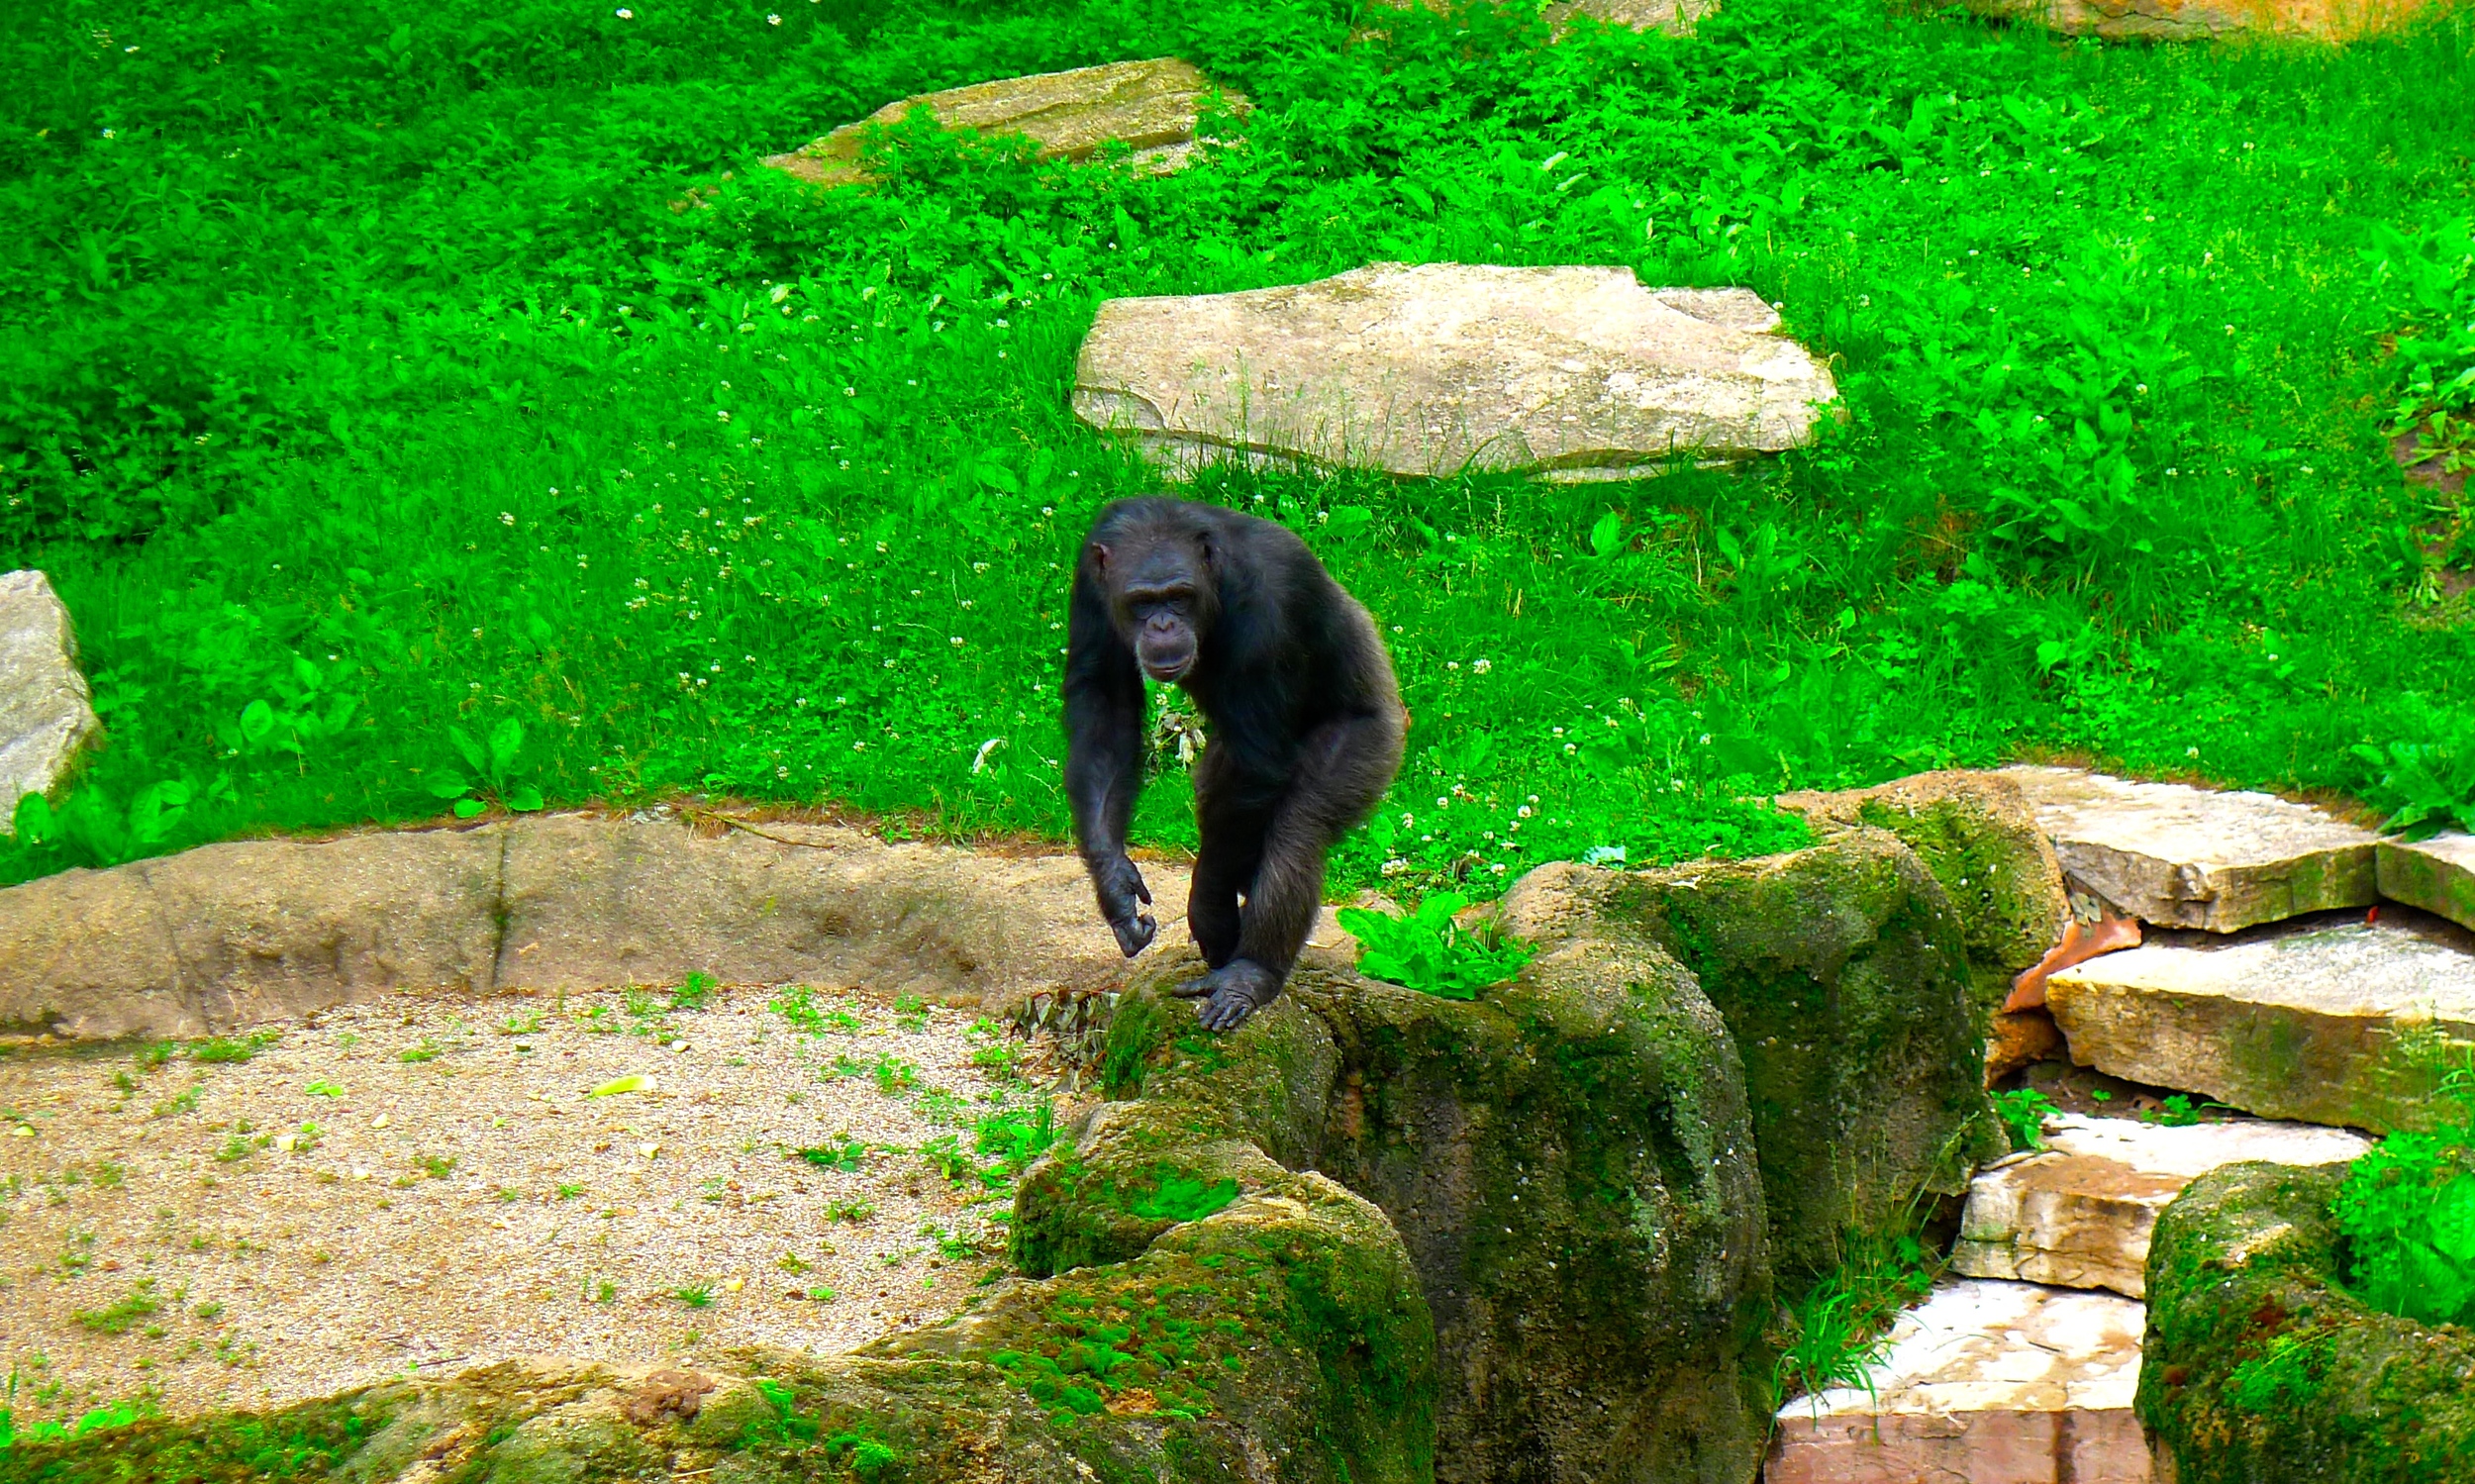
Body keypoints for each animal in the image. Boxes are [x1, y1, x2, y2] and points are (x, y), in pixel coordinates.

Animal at [1069, 499, 1416, 1034]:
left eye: (1180, 597)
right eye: (1143, 601)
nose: (1163, 625)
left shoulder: (1268, 606)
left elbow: (1259, 763)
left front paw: (1209, 908)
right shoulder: (1090, 576)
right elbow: (1104, 703)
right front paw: (1115, 886)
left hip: (1372, 740)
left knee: (1297, 835)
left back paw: (1251, 972)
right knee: (1222, 798)